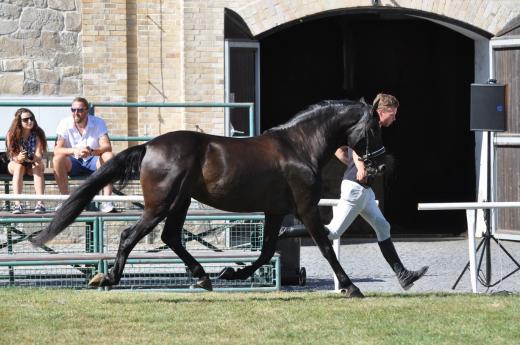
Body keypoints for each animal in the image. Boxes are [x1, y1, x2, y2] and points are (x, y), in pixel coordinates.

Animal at [29, 99, 386, 296]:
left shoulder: (274, 211)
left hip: (180, 203)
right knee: (131, 235)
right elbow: (325, 245)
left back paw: (203, 277)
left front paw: (231, 273)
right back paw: (109, 278)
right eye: (373, 129)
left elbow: (266, 250)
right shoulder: (306, 208)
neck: (299, 147)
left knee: (171, 237)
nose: (379, 164)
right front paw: (352, 287)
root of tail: (149, 147)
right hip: (160, 205)